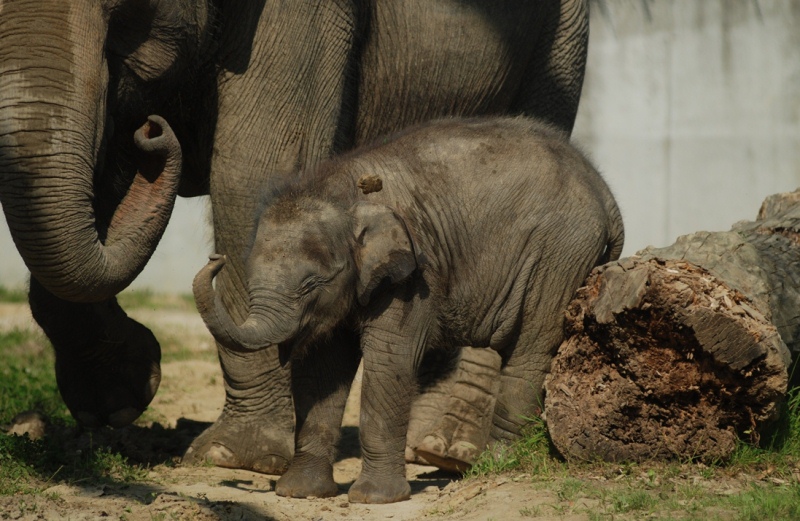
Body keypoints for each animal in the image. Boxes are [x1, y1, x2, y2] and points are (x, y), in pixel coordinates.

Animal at [0, 0, 588, 472]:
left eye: (117, 7)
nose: (151, 127)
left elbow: (252, 168)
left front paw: (236, 457)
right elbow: (89, 167)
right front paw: (119, 398)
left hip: (560, 45)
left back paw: (446, 449)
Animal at [195, 116, 624, 502]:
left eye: (311, 284)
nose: (215, 258)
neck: (342, 189)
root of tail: (604, 190)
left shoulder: (413, 275)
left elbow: (391, 361)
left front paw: (374, 499)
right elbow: (323, 368)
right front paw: (300, 493)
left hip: (559, 255)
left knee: (529, 353)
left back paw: (495, 466)